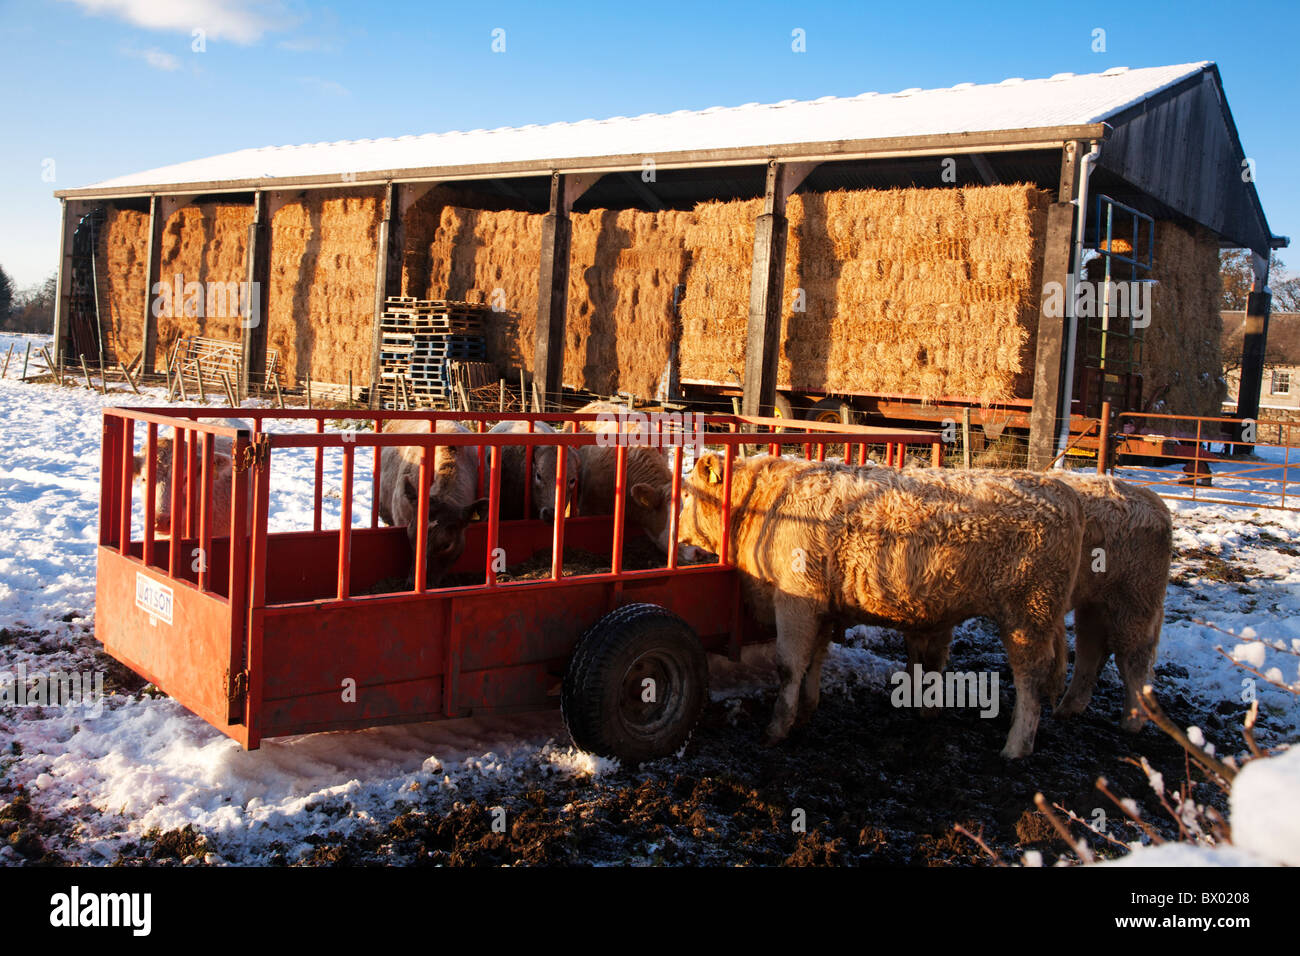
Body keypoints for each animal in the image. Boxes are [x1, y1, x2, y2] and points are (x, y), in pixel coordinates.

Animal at [676, 452, 1081, 759]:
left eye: (688, 496)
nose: (677, 537)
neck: (764, 505)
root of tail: (1060, 491)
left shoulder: (795, 601)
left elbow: (789, 666)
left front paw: (776, 728)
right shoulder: (821, 606)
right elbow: (814, 660)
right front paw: (806, 711)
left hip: (1028, 614)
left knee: (1030, 678)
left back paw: (1016, 746)